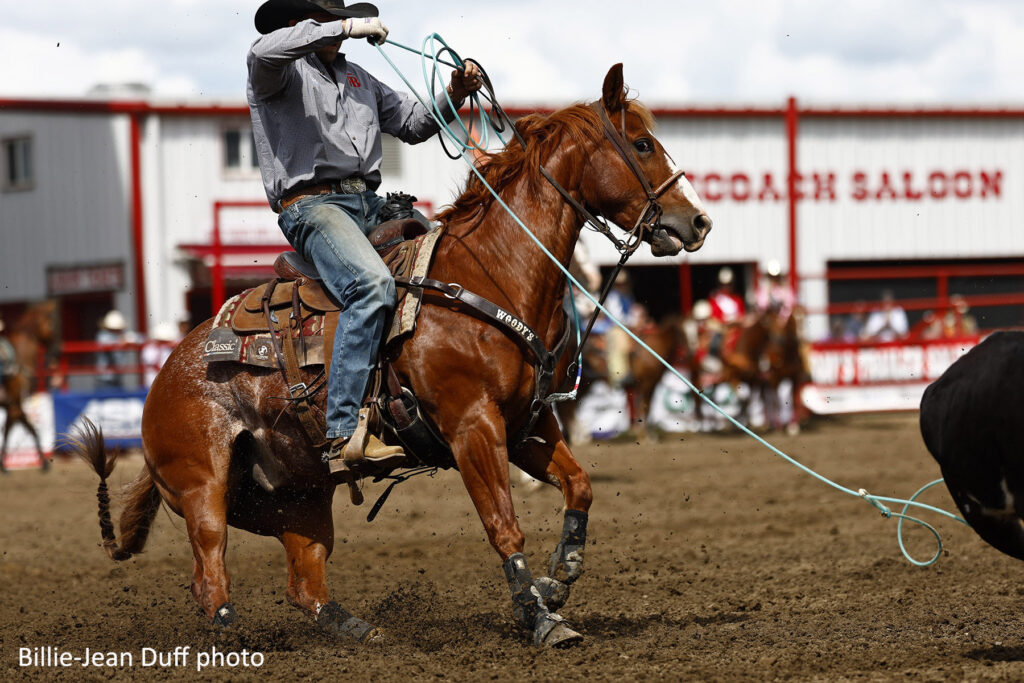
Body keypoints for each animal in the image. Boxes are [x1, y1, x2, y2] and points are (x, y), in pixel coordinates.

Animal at [73, 64, 712, 647]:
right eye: (642, 144)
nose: (698, 220)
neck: (491, 274)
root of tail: (165, 374)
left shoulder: (526, 426)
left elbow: (579, 486)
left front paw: (560, 578)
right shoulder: (472, 428)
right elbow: (504, 528)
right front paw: (541, 619)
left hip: (299, 493)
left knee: (305, 580)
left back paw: (359, 633)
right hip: (203, 486)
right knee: (210, 572)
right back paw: (233, 639)